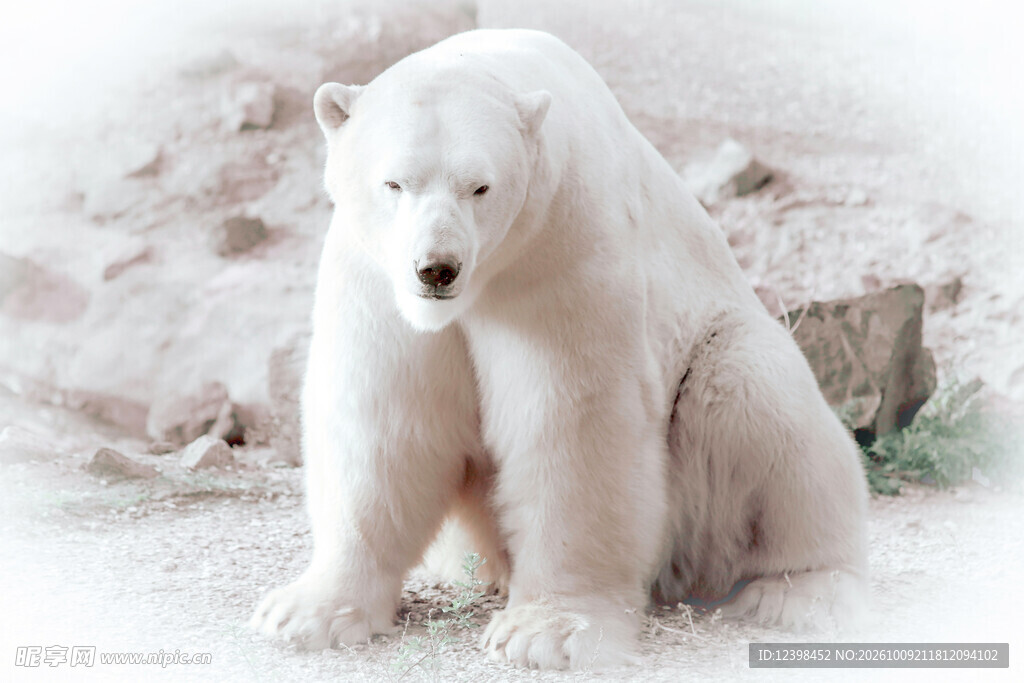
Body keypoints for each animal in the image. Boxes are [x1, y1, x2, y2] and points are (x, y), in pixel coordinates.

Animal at [250, 28, 869, 671]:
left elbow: (569, 421)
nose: (436, 269)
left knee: (757, 399)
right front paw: (305, 614)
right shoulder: (373, 279)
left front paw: (547, 632)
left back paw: (796, 591)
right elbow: (384, 420)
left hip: (718, 391)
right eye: (394, 183)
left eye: (480, 186)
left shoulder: (560, 253)